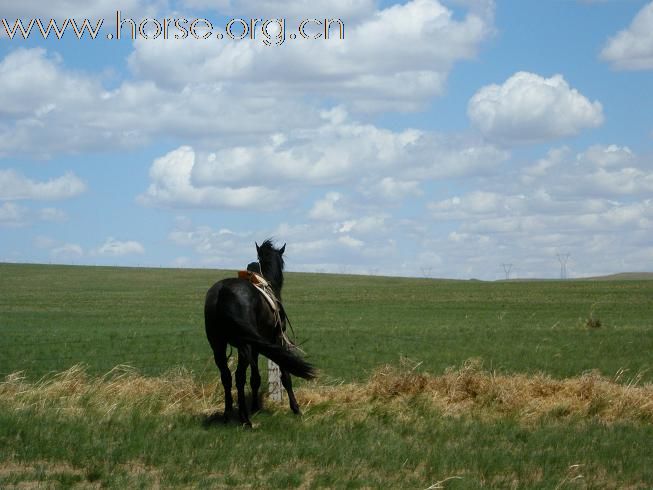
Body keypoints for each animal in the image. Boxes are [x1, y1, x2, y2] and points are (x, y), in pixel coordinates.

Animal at [205, 238, 314, 424]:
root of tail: (222, 292)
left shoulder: (257, 347)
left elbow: (255, 378)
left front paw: (255, 407)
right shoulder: (277, 339)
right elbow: (285, 375)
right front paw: (296, 408)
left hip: (218, 344)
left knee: (226, 376)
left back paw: (228, 414)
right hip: (244, 345)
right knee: (239, 376)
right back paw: (244, 419)